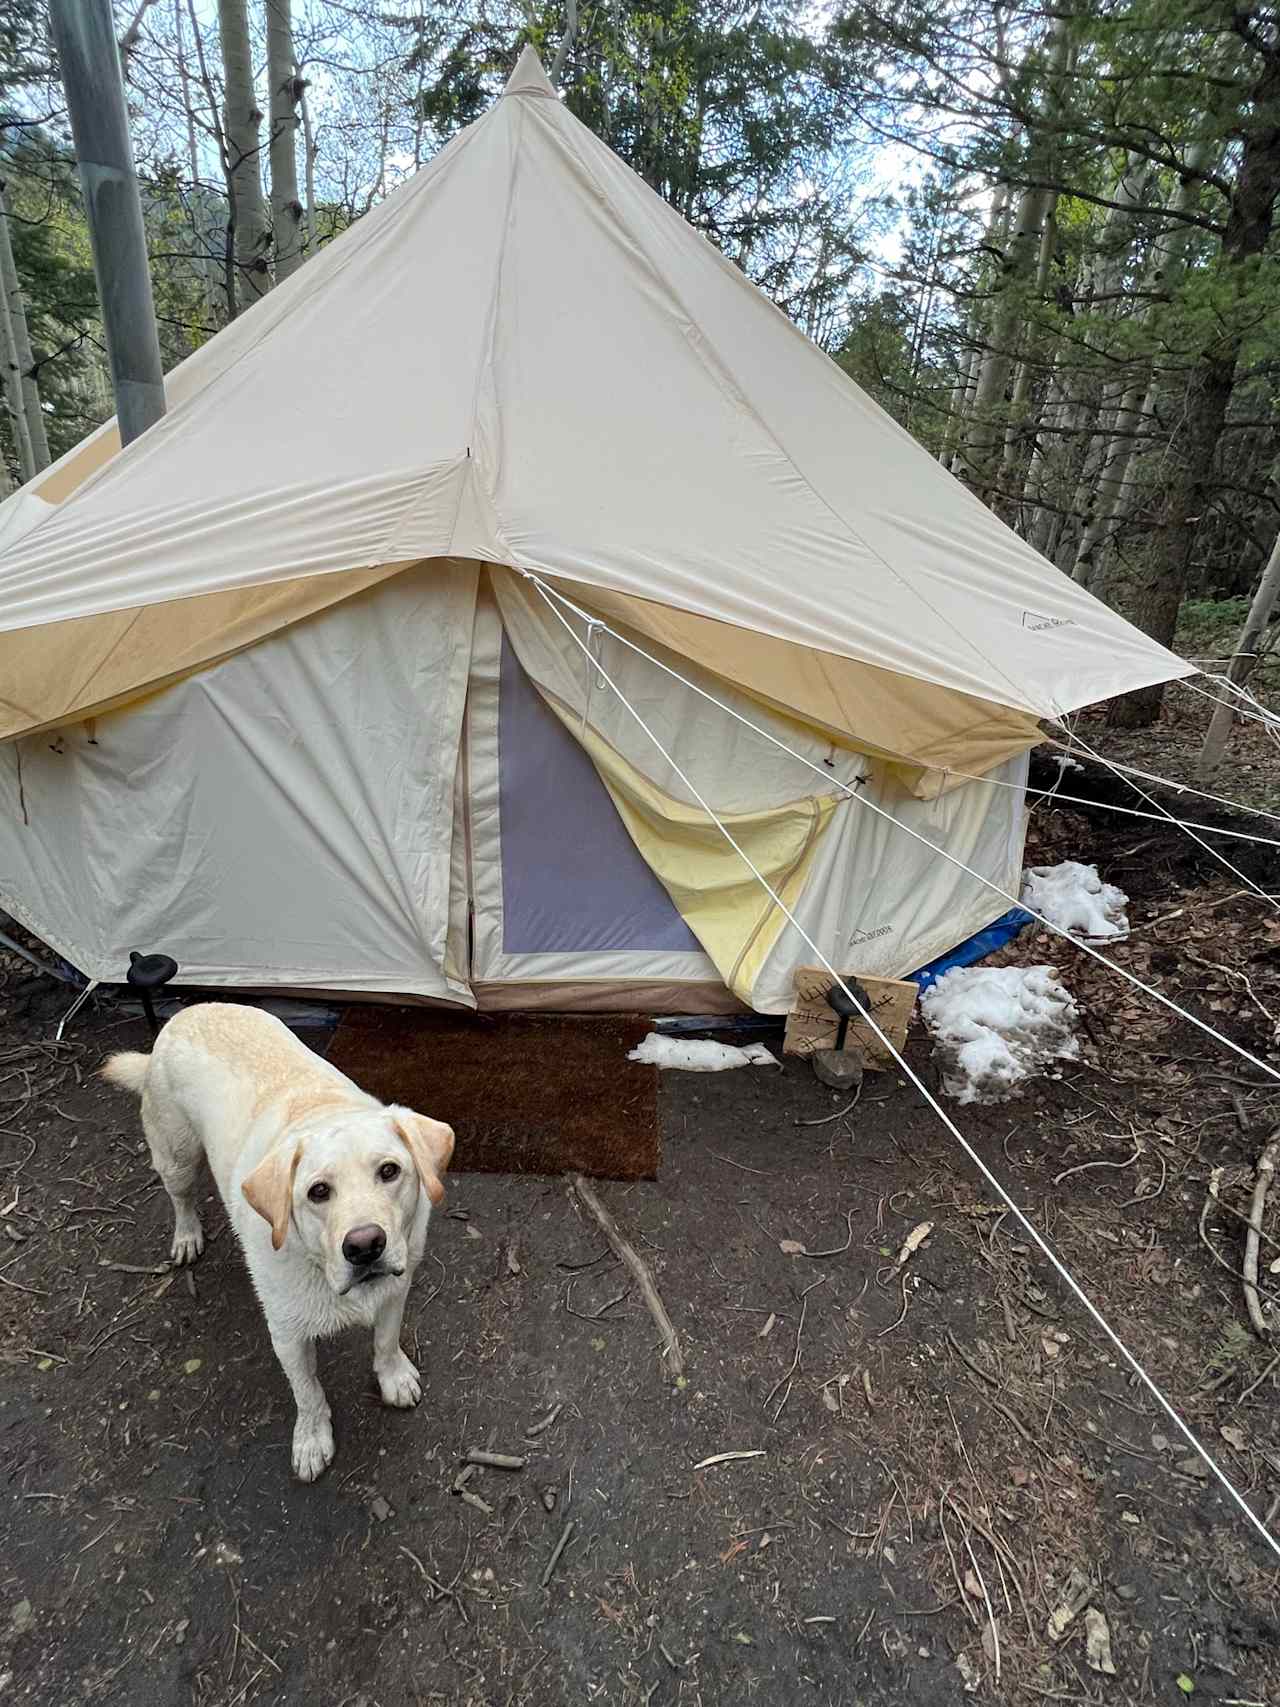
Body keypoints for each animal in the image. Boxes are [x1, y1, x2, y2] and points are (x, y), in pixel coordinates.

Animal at [105, 996, 457, 1481]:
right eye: (318, 1192)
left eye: (390, 1171)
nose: (365, 1246)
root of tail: (190, 1010)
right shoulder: (287, 1335)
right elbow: (307, 1391)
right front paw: (311, 1439)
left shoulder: (395, 1289)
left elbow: (385, 1341)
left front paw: (394, 1377)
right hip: (175, 1154)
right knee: (180, 1196)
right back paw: (187, 1234)